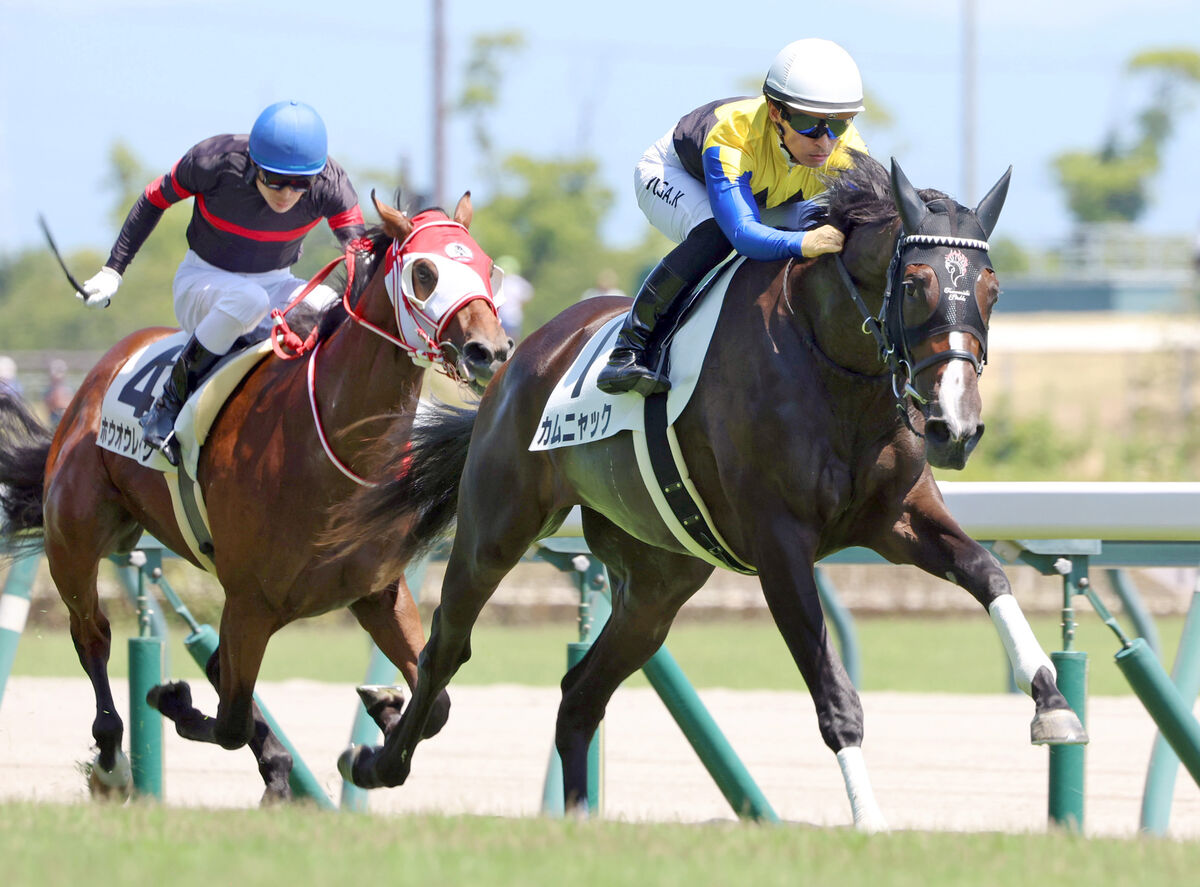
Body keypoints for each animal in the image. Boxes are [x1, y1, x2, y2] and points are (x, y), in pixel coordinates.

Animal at [0, 194, 511, 806]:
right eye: (425, 272)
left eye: (487, 268)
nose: (490, 351)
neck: (330, 446)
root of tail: (96, 377)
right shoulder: (249, 602)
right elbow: (229, 720)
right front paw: (173, 700)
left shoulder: (378, 592)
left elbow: (435, 704)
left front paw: (381, 720)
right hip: (73, 541)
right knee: (93, 635)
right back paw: (111, 762)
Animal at [328, 156, 1089, 830]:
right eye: (918, 285)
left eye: (992, 288)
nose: (954, 426)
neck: (831, 362)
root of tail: (521, 355)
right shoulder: (781, 544)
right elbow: (833, 691)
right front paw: (869, 818)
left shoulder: (896, 519)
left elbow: (987, 572)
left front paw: (1051, 700)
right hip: (496, 526)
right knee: (445, 650)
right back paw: (375, 761)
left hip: (658, 582)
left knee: (580, 694)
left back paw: (577, 819)